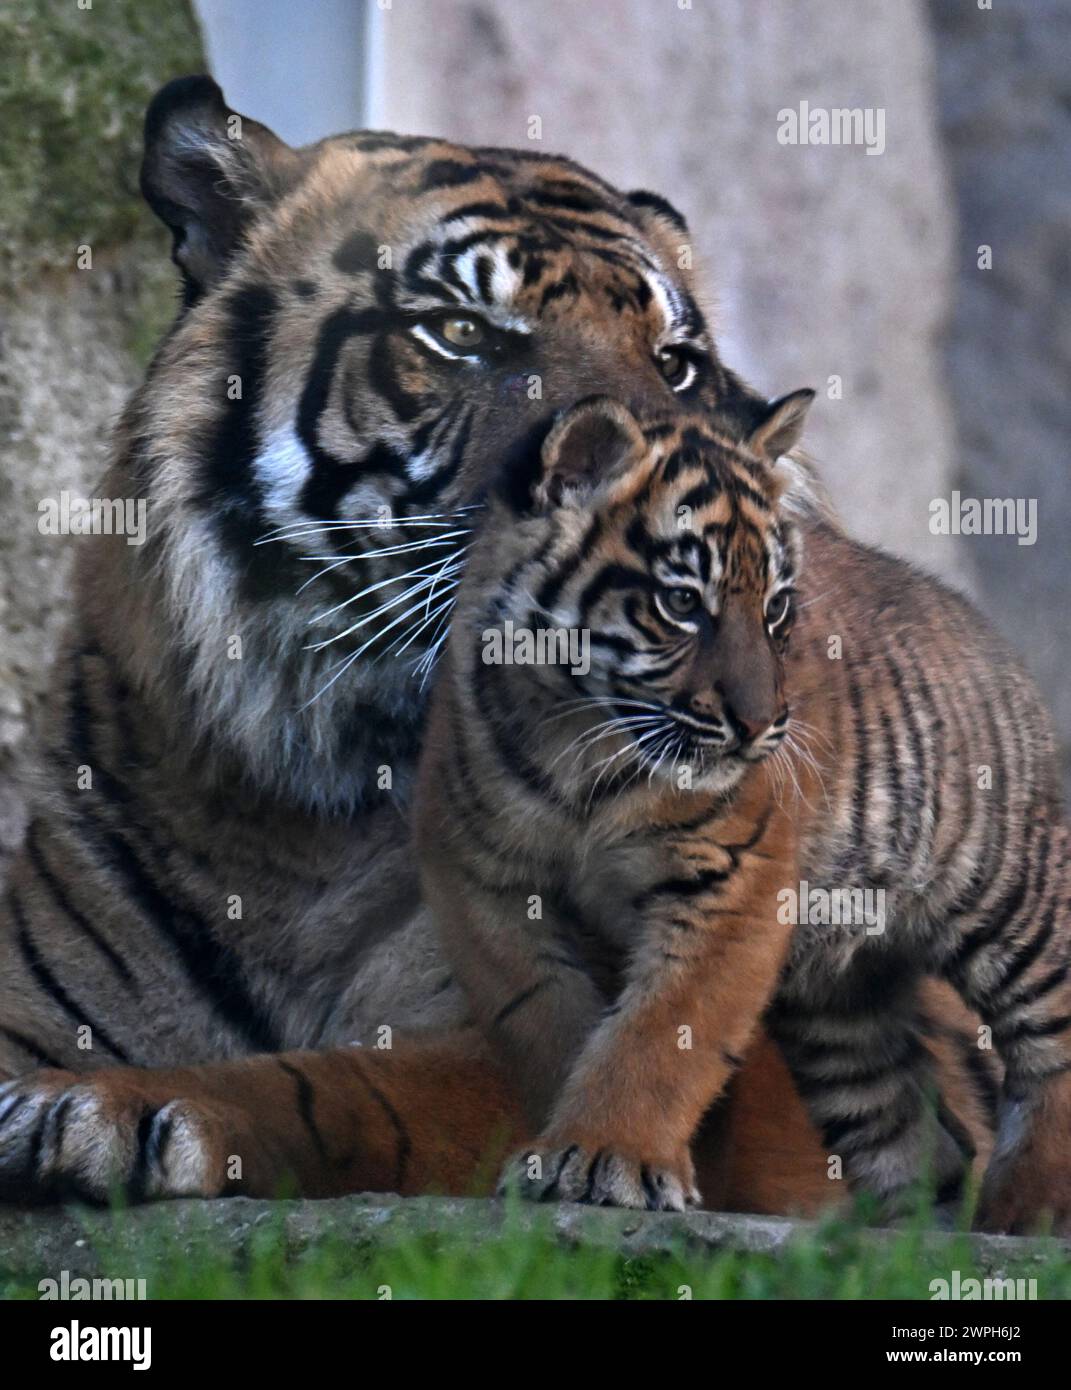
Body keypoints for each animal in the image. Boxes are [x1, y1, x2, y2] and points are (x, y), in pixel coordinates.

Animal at [415, 392, 1071, 1225]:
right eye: (680, 603)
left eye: (776, 608)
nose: (760, 725)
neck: (576, 736)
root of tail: (979, 626)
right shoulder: (480, 879)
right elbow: (546, 1021)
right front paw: (559, 1153)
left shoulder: (731, 881)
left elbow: (661, 1033)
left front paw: (608, 1156)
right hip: (835, 1010)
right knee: (909, 1129)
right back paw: (909, 1236)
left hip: (1006, 895)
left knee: (1052, 1038)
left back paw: (1025, 1213)